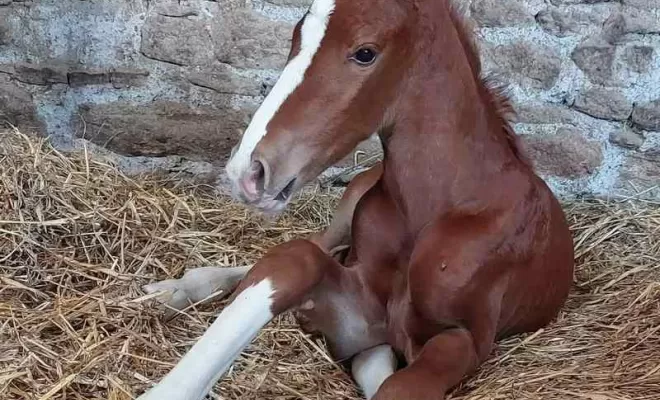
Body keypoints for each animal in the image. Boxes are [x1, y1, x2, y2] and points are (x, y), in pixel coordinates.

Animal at [138, 0, 572, 400]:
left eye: (365, 53)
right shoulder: (358, 313)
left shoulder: (465, 337)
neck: (444, 205)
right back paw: (177, 289)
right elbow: (295, 260)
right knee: (314, 245)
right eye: (296, 37)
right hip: (347, 211)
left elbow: (398, 385)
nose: (248, 171)